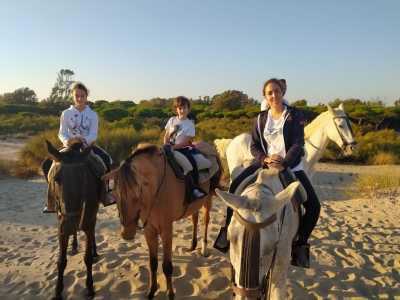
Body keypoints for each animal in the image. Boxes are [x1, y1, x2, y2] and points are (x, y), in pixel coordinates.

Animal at [45, 140, 101, 300]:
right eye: (55, 179)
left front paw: (90, 287)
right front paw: (58, 292)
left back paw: (95, 251)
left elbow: (87, 258)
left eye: (83, 180)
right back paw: (74, 245)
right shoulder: (61, 226)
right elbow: (61, 261)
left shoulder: (88, 224)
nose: (69, 226)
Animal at [102, 144, 222, 300]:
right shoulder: (149, 231)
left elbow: (167, 266)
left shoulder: (166, 230)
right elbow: (153, 263)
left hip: (209, 198)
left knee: (205, 220)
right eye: (114, 195)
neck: (155, 190)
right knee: (194, 219)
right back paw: (192, 245)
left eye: (136, 197)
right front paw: (152, 290)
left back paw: (204, 249)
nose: (126, 234)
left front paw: (169, 294)